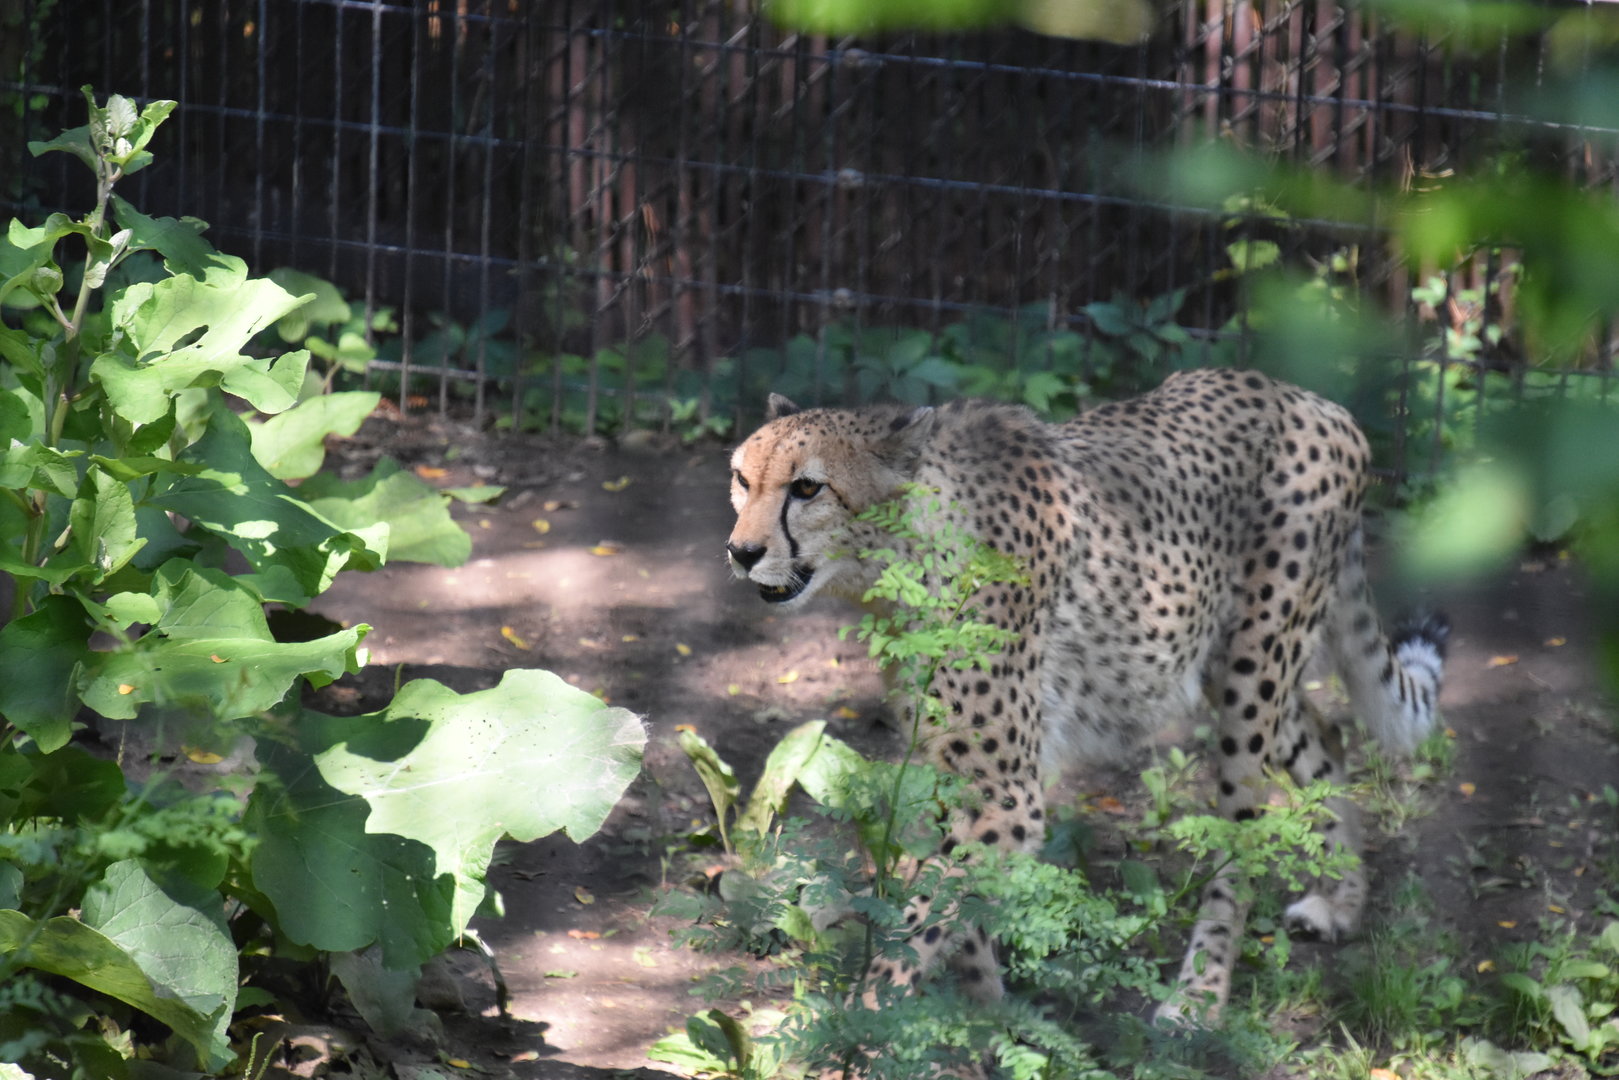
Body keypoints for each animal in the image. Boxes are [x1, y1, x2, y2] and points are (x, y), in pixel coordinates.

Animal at [724, 366, 1449, 1025]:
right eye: (742, 480)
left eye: (808, 487)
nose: (740, 551)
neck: (907, 557)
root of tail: (1311, 401)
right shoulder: (960, 776)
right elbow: (961, 913)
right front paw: (988, 1019)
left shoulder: (1006, 793)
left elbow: (919, 924)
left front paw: (863, 1020)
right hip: (1226, 662)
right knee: (1327, 740)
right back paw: (1342, 903)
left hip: (1253, 672)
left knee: (1239, 838)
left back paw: (1199, 997)